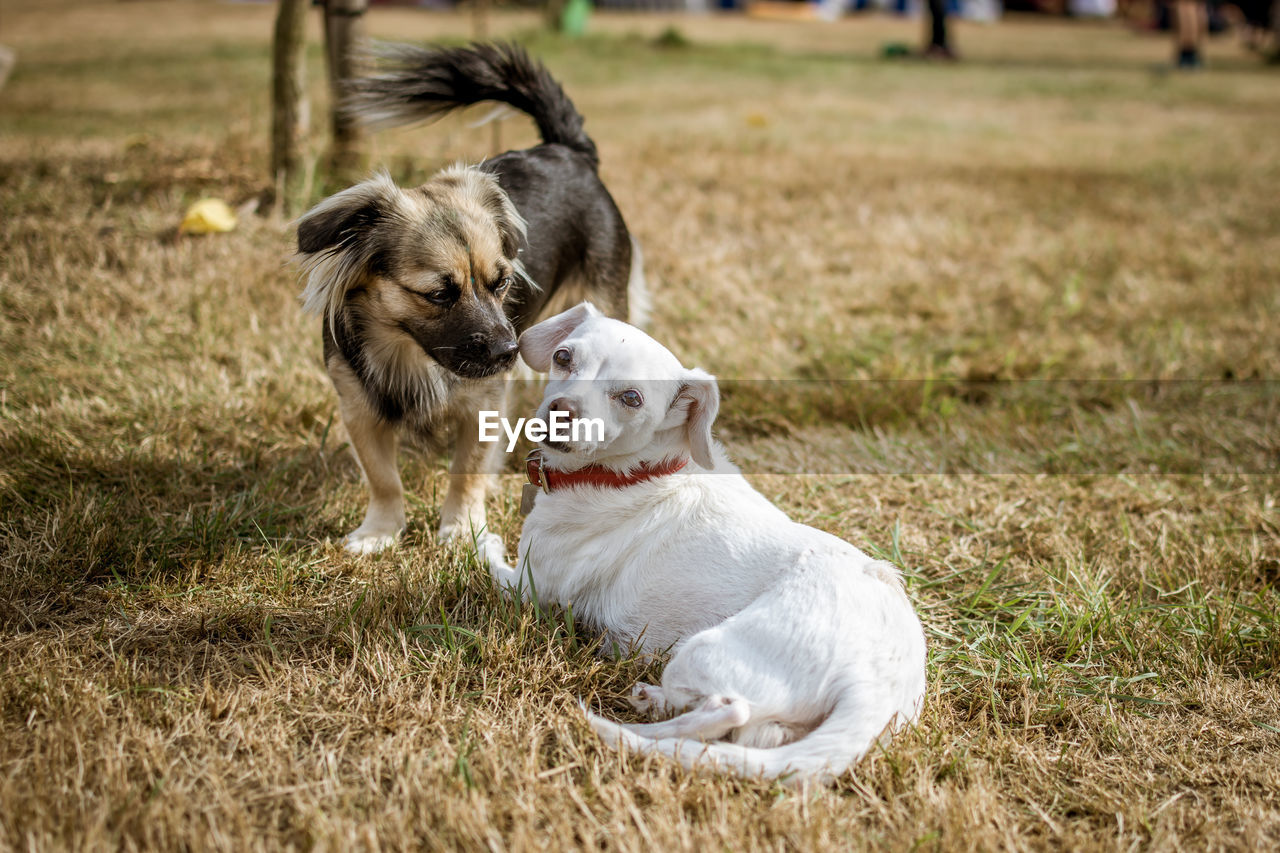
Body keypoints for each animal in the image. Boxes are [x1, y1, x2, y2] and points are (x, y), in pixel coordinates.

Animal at [486, 302, 921, 778]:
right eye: (563, 357)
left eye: (632, 398)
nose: (560, 409)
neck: (634, 472)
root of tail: (879, 684)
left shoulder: (529, 587)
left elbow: (483, 558)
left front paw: (478, 539)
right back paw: (653, 705)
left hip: (703, 652)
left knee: (729, 710)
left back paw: (626, 731)